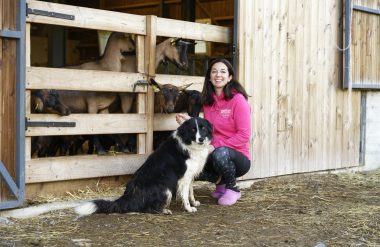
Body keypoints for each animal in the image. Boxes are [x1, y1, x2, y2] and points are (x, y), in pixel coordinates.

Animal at [74, 116, 211, 215]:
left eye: (203, 128)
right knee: (148, 209)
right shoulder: (184, 177)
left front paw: (194, 203)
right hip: (165, 188)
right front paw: (189, 208)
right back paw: (164, 210)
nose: (201, 139)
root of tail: (128, 196)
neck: (190, 143)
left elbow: (190, 192)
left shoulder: (190, 175)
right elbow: (185, 195)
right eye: (193, 130)